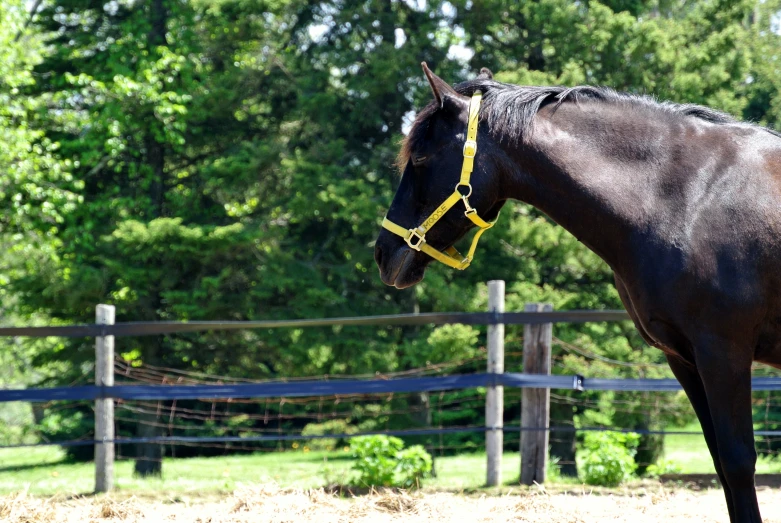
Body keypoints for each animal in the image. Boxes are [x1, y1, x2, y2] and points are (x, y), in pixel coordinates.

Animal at [372, 62, 780, 523]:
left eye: (421, 158)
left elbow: (737, 461)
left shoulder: (723, 352)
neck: (690, 196)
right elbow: (720, 463)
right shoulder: (685, 358)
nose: (383, 254)